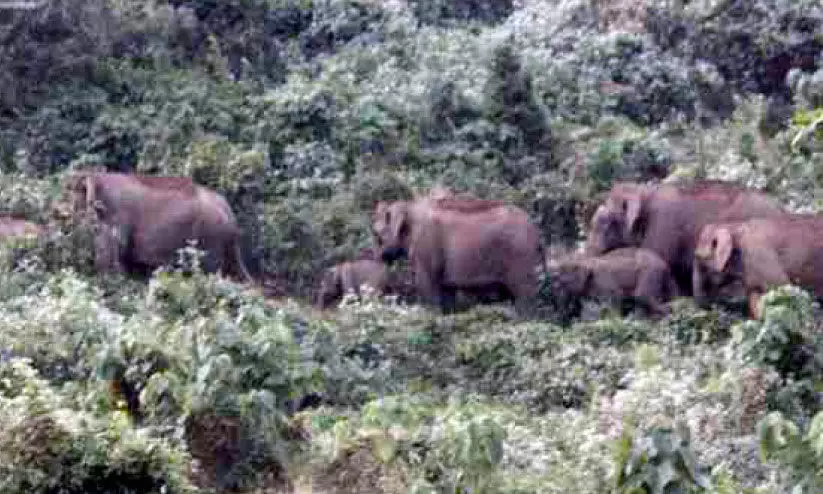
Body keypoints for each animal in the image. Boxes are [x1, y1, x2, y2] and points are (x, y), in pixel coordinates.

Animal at [371, 197, 544, 314]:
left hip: (520, 257)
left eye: (376, 235)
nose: (378, 258)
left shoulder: (426, 247)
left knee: (524, 295)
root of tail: (536, 231)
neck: (410, 207)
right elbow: (447, 291)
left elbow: (427, 285)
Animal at [547, 247, 680, 317]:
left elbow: (615, 297)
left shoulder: (602, 280)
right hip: (664, 277)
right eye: (557, 279)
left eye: (564, 282)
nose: (556, 286)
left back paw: (666, 311)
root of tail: (663, 263)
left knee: (642, 295)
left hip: (649, 272)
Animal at [693, 214, 823, 319]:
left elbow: (782, 288)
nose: (712, 309)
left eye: (699, 257)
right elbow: (755, 298)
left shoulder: (760, 256)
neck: (733, 226)